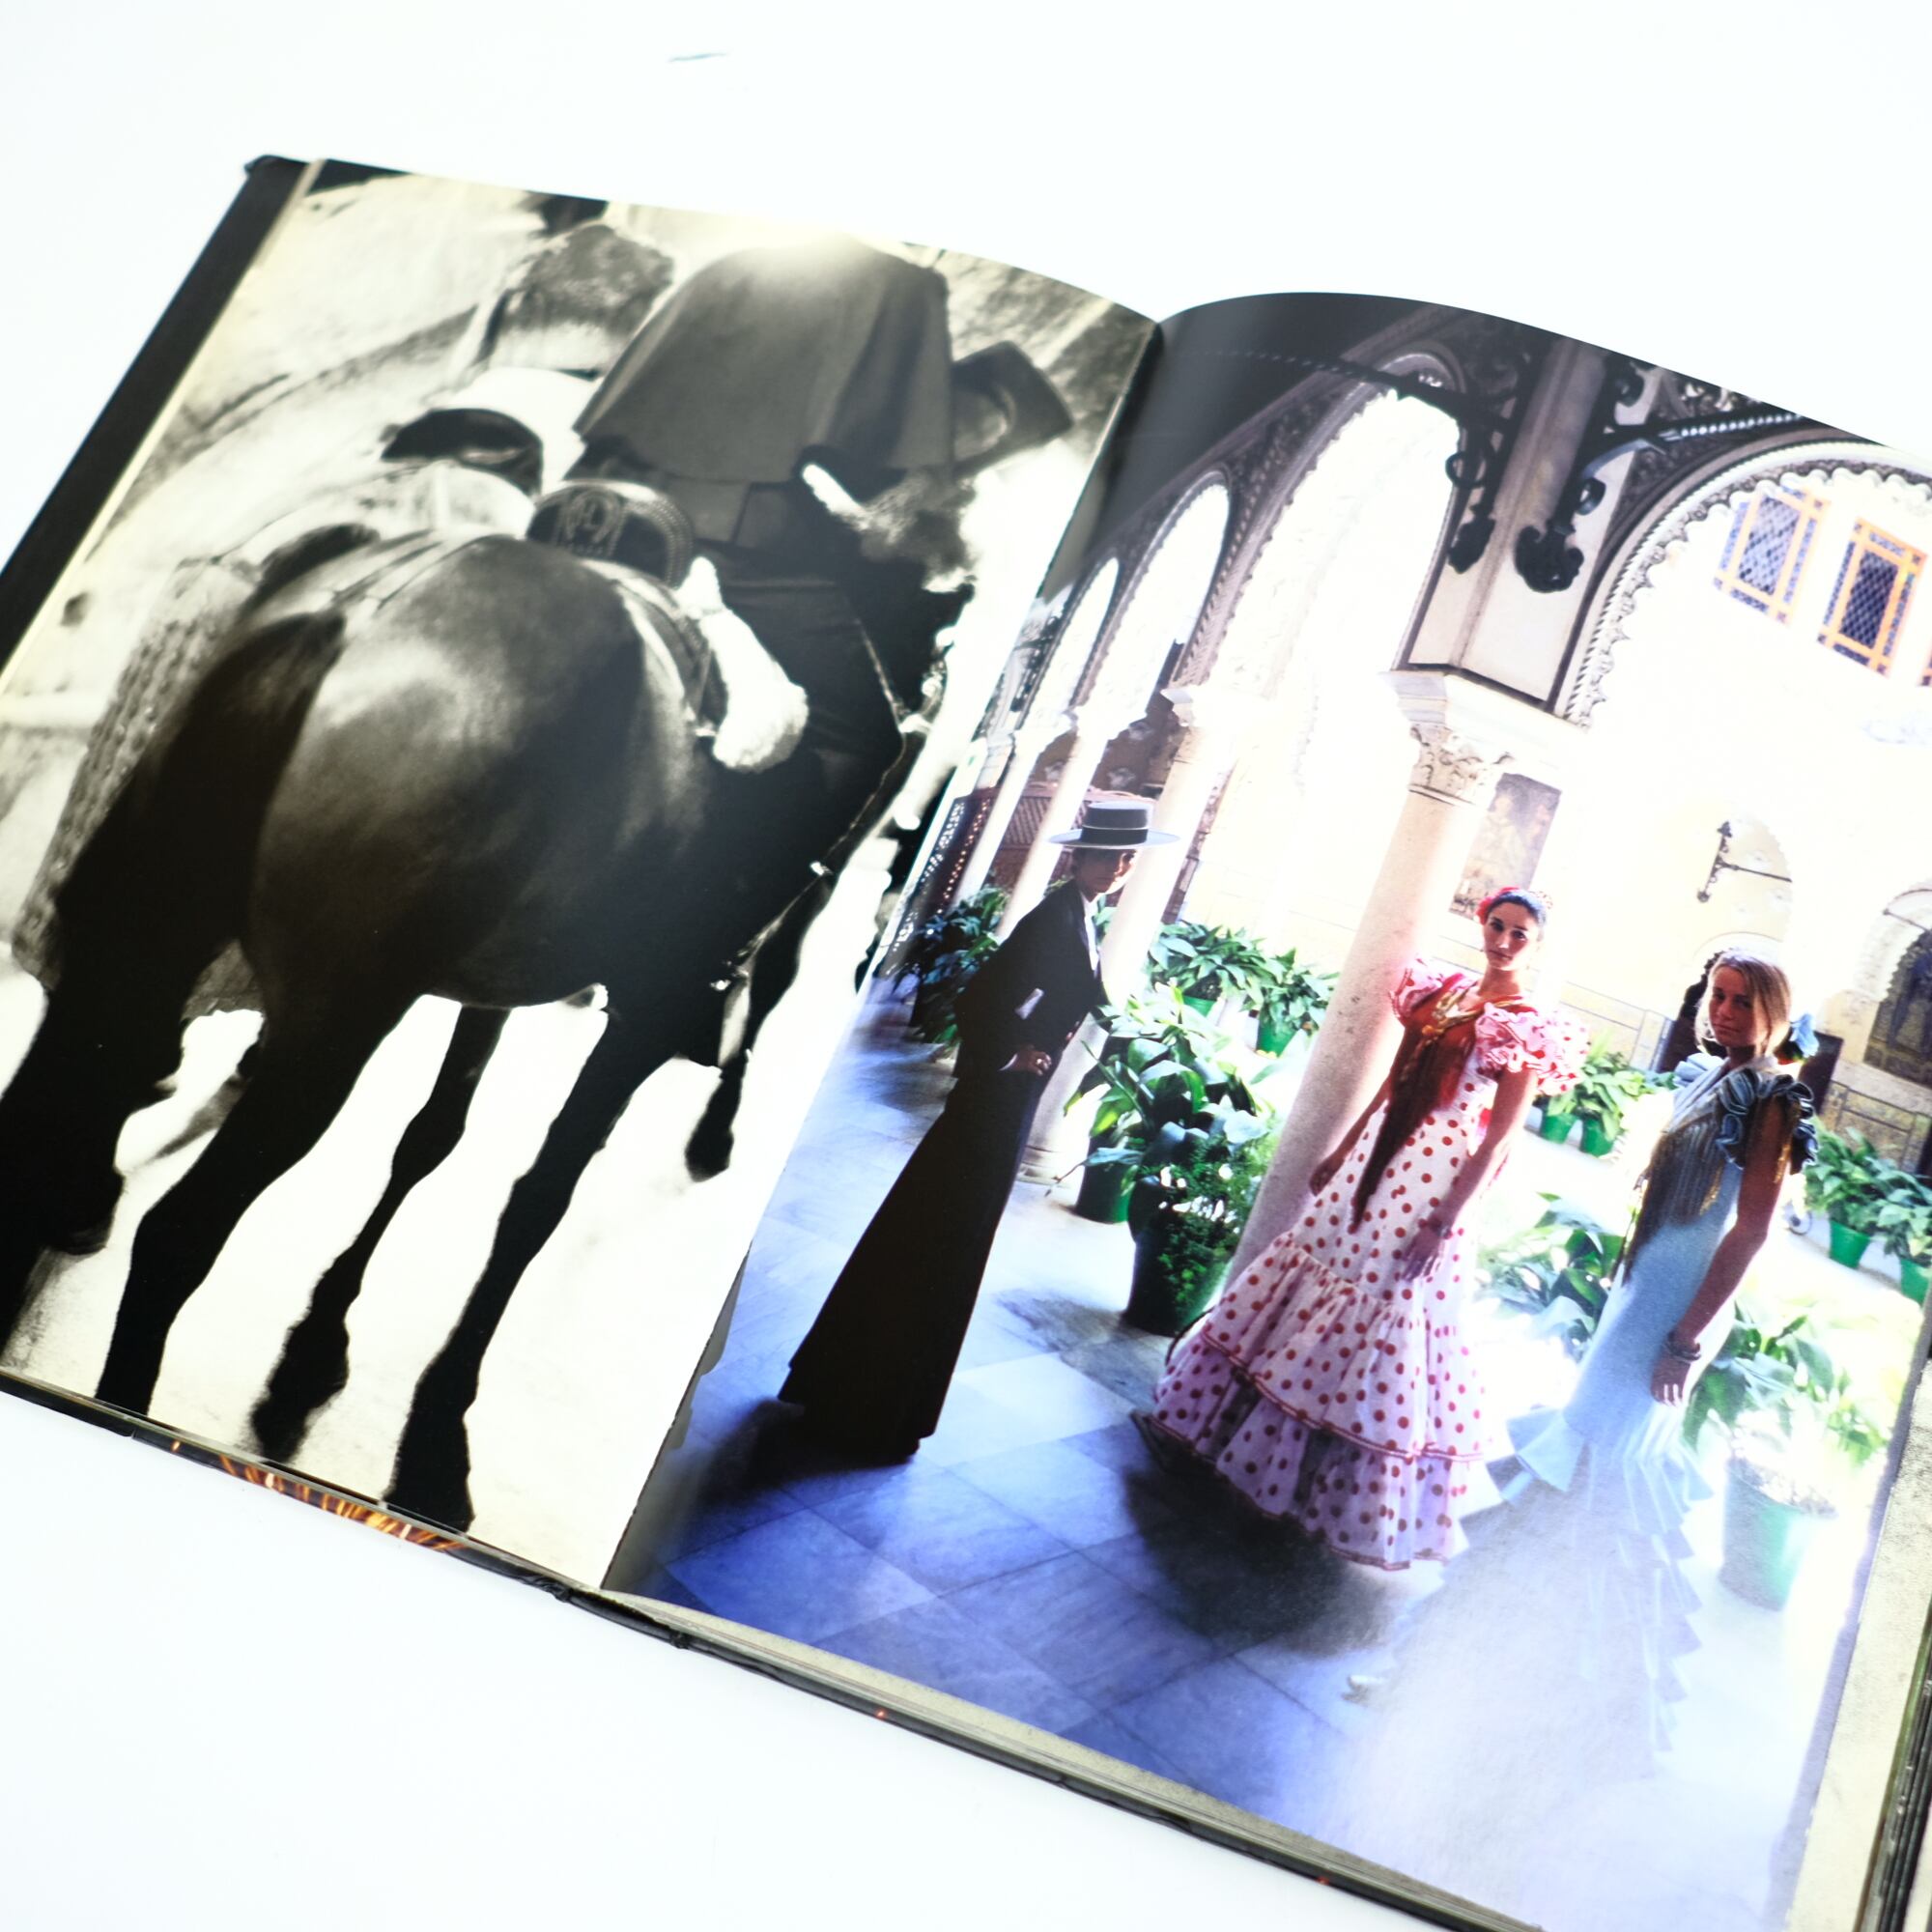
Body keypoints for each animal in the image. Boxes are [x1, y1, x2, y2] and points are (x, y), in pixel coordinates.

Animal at [0, 523, 940, 1529]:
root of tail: (369, 601)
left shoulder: (487, 985)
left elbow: (430, 1139)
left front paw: (319, 1342)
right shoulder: (638, 1020)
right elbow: (539, 1197)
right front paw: (440, 1423)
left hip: (147, 942)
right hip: (332, 1032)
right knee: (178, 1235)